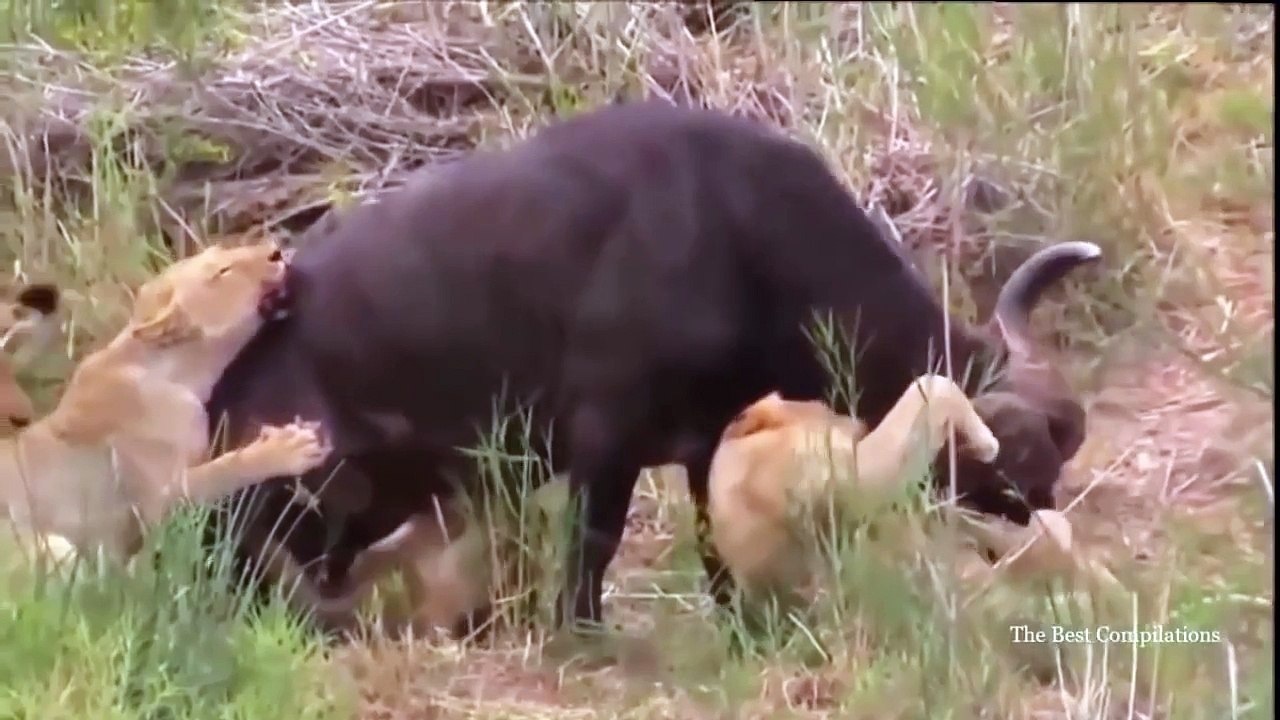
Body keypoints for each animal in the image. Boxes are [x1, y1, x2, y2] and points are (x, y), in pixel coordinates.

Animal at [0, 239, 332, 564]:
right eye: (222, 272)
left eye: (222, 253)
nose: (275, 251)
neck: (180, 372)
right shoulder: (160, 502)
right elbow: (225, 468)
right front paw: (288, 447)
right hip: (51, 545)